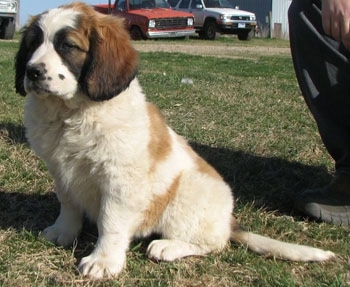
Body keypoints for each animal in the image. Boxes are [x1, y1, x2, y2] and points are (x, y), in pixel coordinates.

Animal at [15, 1, 334, 282]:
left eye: (67, 47)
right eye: (32, 44)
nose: (32, 71)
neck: (72, 113)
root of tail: (229, 221)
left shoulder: (120, 181)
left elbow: (111, 222)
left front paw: (103, 261)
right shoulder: (61, 170)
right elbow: (68, 203)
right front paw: (63, 231)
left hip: (185, 197)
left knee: (214, 242)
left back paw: (168, 246)